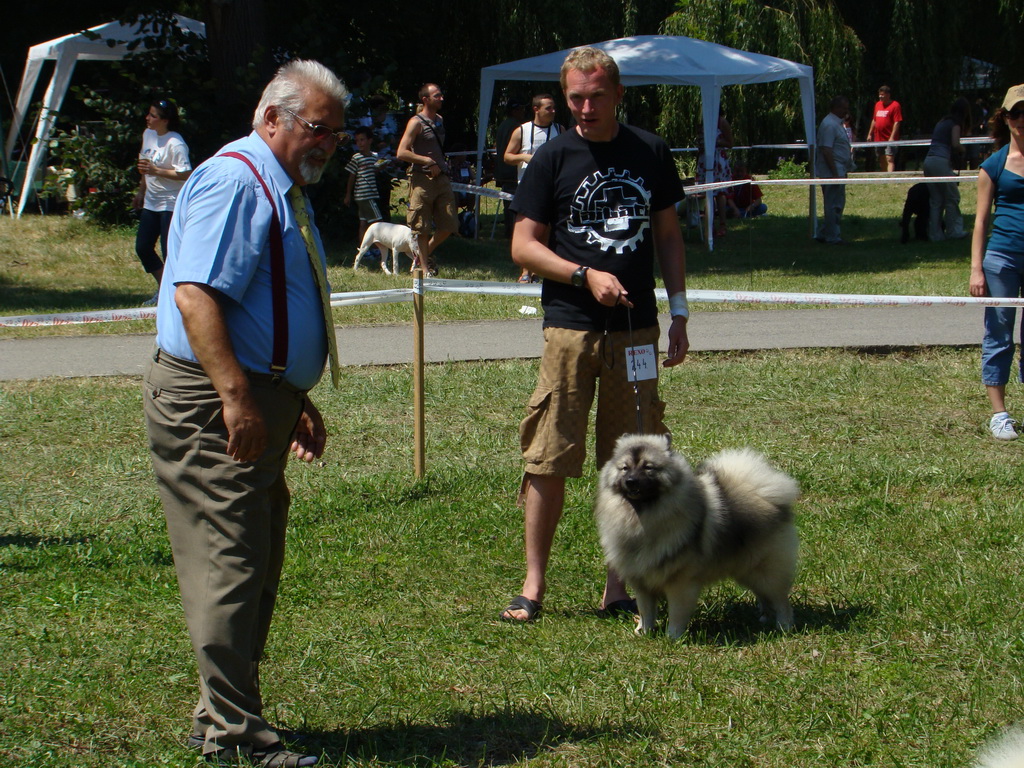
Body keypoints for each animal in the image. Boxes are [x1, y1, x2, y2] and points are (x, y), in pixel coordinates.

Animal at [593, 436, 798, 638]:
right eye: (625, 468)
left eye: (648, 467)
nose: (631, 481)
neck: (640, 515)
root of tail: (766, 495)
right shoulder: (642, 582)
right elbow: (646, 611)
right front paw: (643, 632)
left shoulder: (680, 583)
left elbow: (676, 613)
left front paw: (672, 637)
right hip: (748, 571)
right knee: (764, 596)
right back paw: (765, 619)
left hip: (766, 571)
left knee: (780, 600)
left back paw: (784, 626)